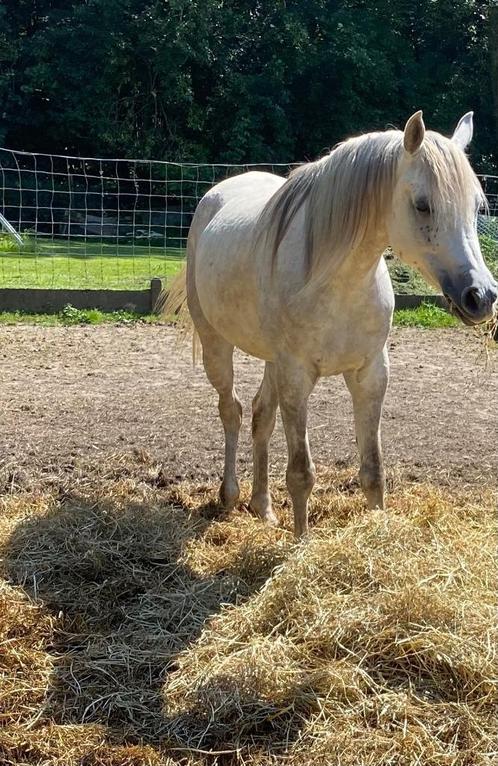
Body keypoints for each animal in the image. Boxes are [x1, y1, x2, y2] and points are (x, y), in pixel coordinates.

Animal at [164, 112, 498, 540]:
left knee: (260, 416)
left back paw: (263, 508)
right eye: (423, 205)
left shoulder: (370, 374)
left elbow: (373, 470)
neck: (338, 281)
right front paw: (301, 544)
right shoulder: (297, 377)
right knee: (231, 411)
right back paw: (230, 496)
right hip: (217, 345)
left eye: (476, 207)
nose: (481, 296)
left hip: (272, 362)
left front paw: (377, 531)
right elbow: (301, 474)